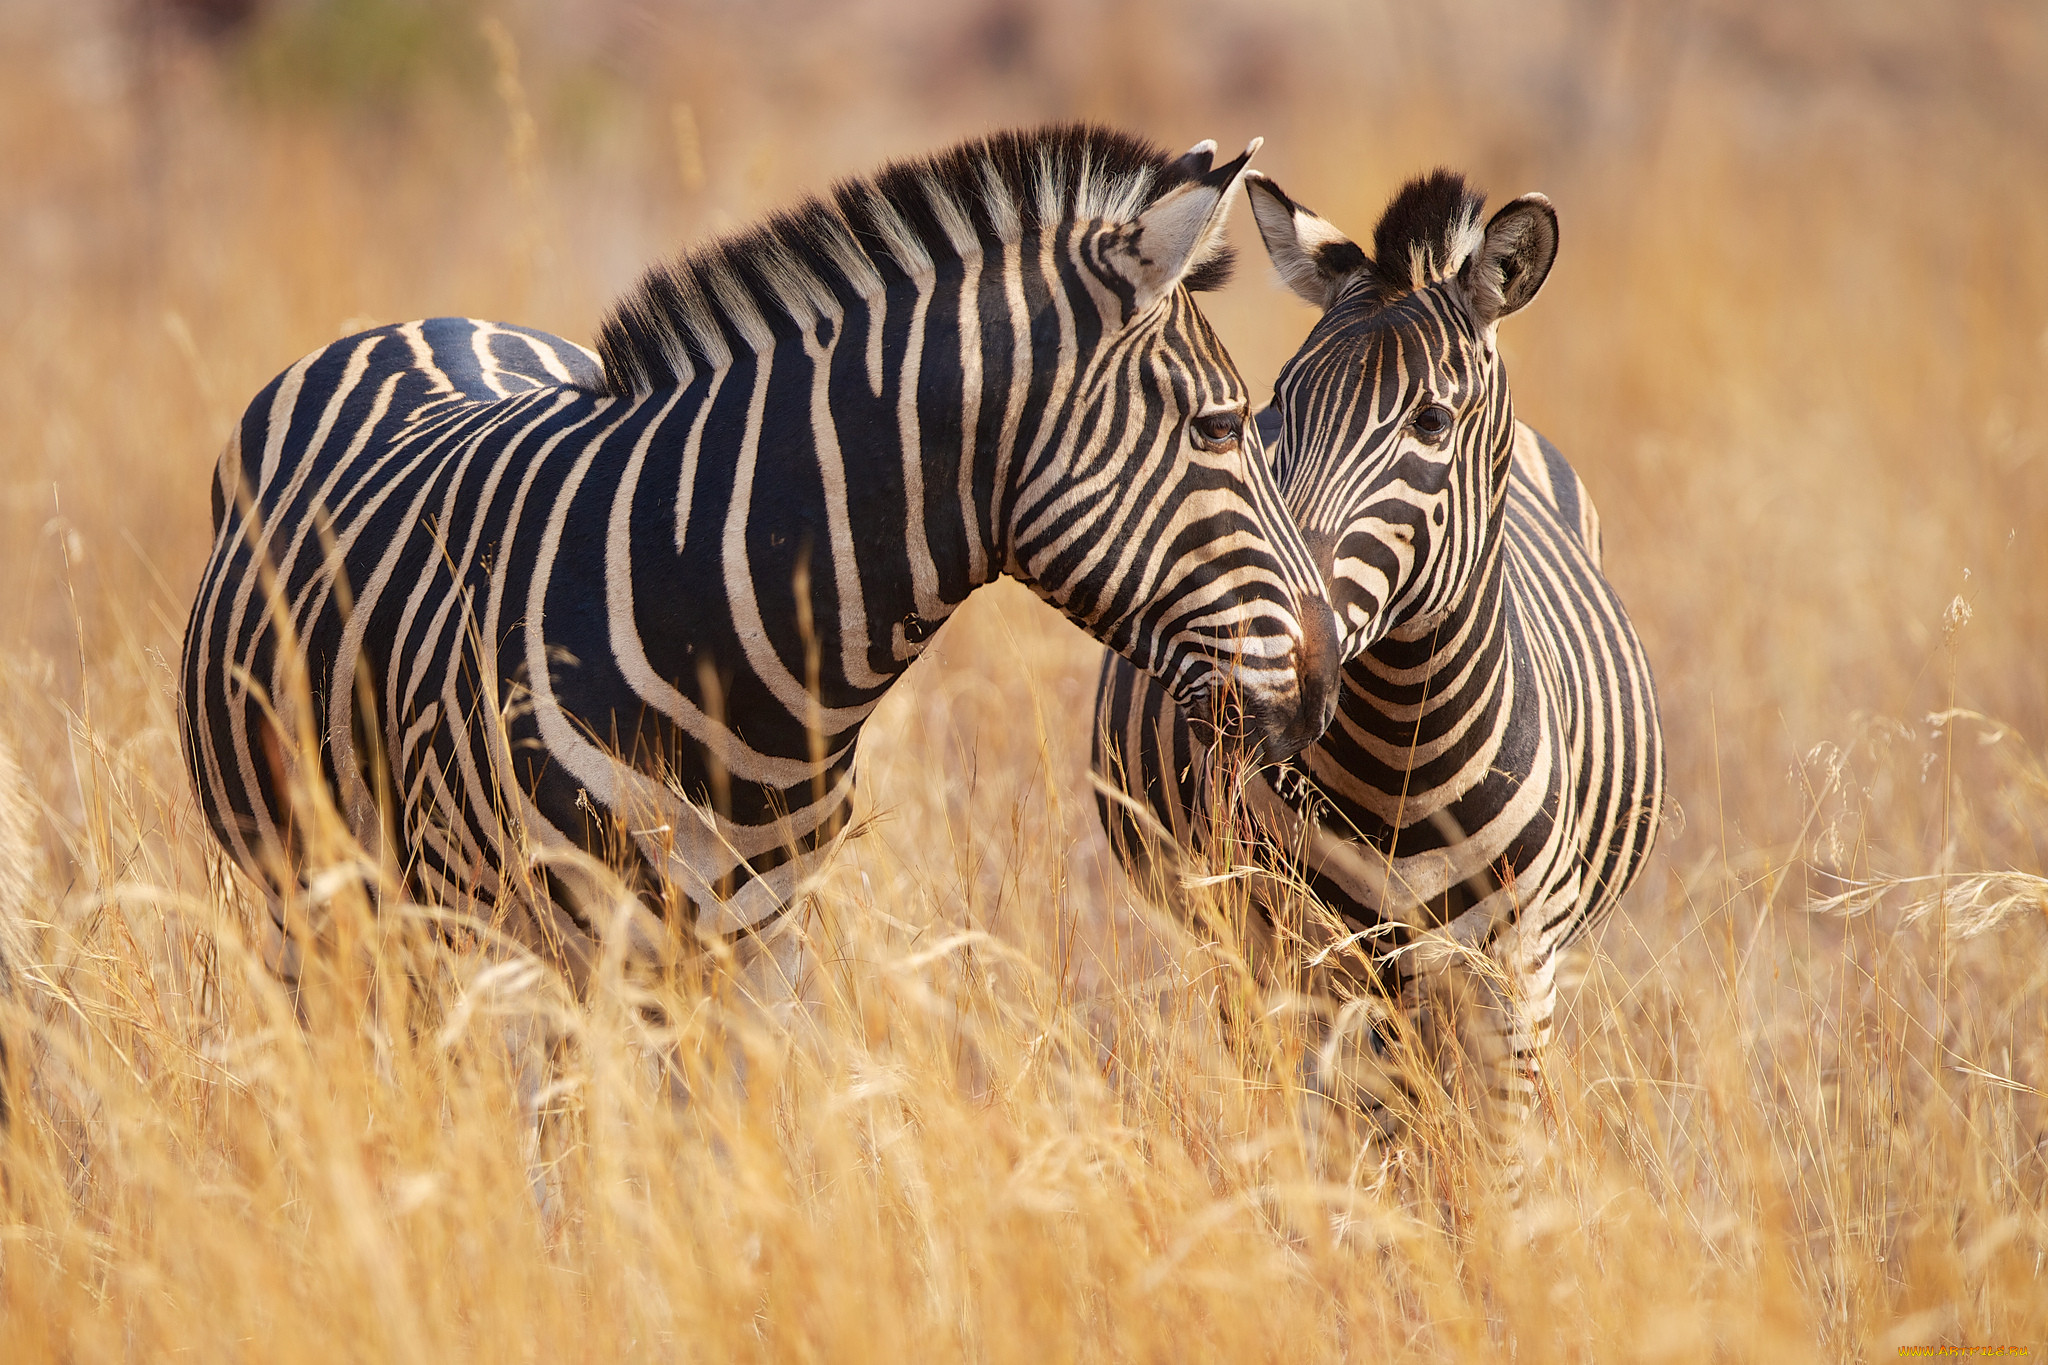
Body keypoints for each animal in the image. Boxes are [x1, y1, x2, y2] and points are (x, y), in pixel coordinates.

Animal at [180, 125, 1343, 982]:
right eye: (1220, 428)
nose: (1329, 682)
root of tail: (423, 322)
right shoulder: (497, 940)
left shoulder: (753, 953)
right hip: (314, 904)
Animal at [1097, 167, 1654, 1178]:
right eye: (1283, 406)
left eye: (1430, 420)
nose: (1289, 646)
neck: (1407, 742)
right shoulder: (1311, 951)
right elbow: (1352, 1153)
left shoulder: (1517, 968)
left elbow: (1494, 1165)